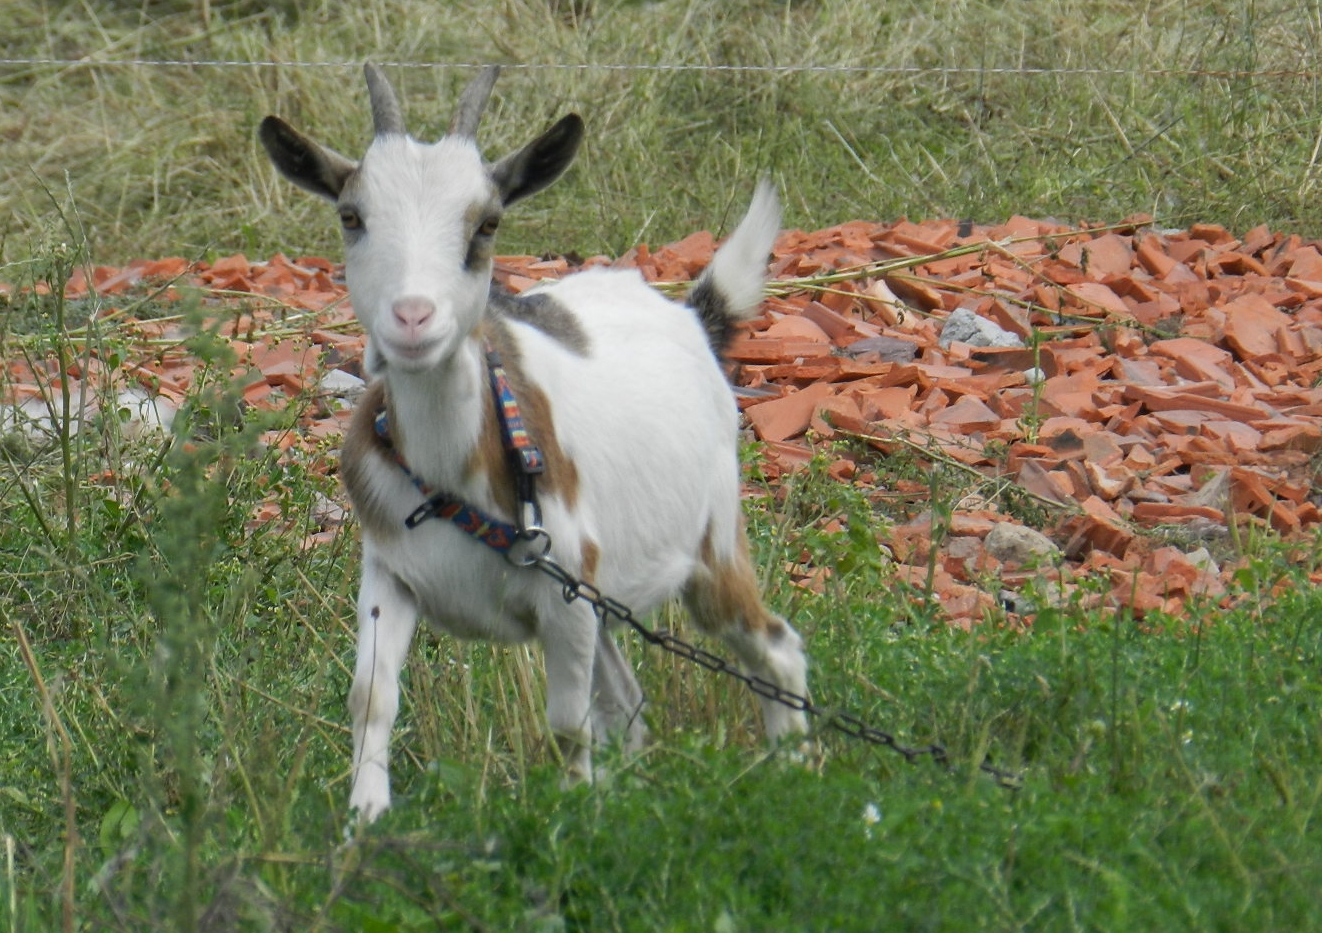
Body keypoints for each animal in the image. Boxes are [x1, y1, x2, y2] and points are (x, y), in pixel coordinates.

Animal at [257, 65, 803, 819]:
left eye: (486, 223)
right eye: (351, 217)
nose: (413, 318)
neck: (449, 481)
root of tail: (691, 317)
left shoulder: (564, 592)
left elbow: (568, 726)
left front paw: (568, 819)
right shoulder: (390, 575)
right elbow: (371, 697)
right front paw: (364, 819)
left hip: (713, 547)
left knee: (777, 649)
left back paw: (800, 775)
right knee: (629, 703)